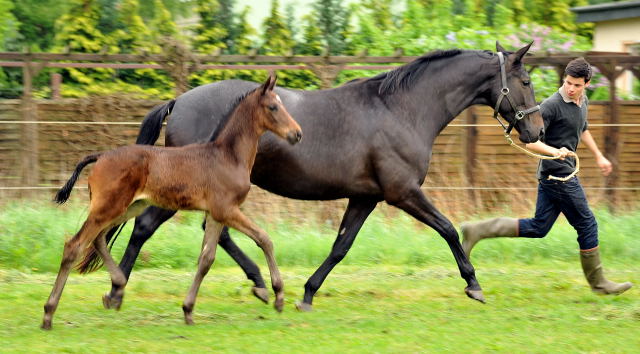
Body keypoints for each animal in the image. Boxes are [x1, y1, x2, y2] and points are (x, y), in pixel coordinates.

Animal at [41, 75, 302, 330]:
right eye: (273, 107)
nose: (297, 133)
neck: (228, 156)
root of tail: (101, 156)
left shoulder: (215, 214)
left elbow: (206, 259)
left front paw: (188, 310)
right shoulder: (226, 209)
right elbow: (264, 239)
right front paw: (278, 296)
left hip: (129, 206)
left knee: (99, 239)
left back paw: (118, 285)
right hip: (109, 207)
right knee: (74, 246)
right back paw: (49, 314)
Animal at [104, 42, 540, 312]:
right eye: (526, 82)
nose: (534, 130)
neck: (400, 108)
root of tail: (178, 101)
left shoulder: (366, 197)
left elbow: (340, 246)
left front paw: (307, 294)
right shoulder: (402, 192)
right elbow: (448, 229)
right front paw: (474, 285)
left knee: (215, 233)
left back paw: (258, 283)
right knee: (145, 226)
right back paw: (116, 292)